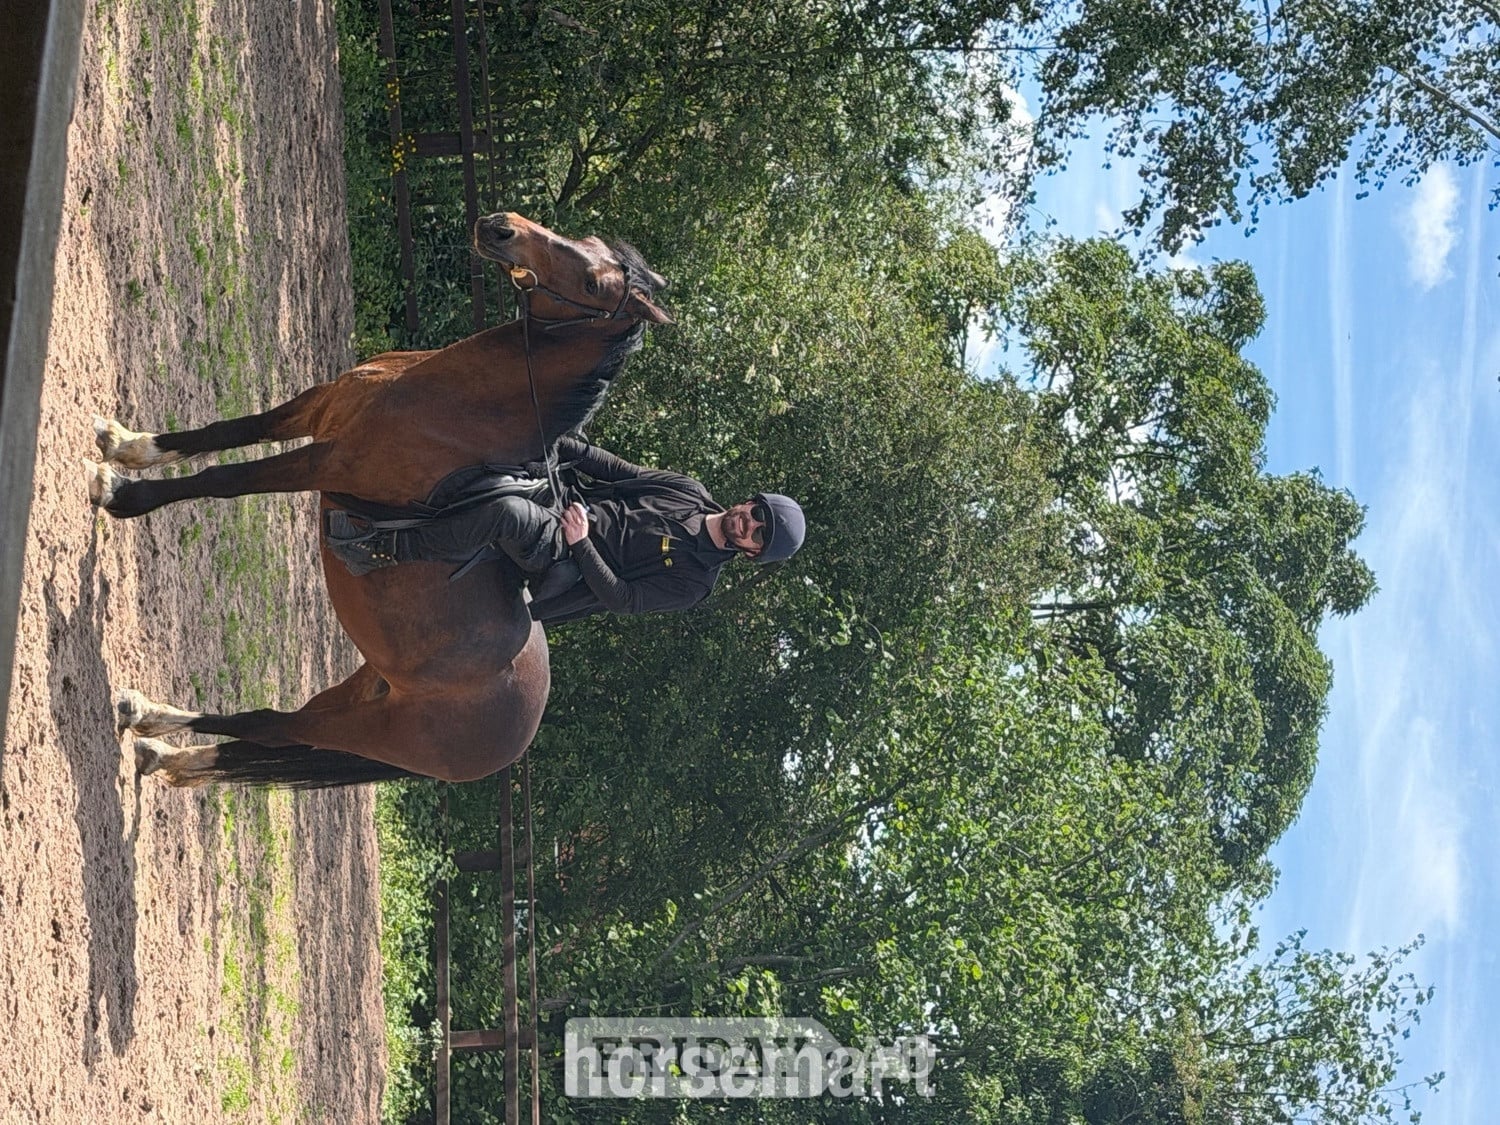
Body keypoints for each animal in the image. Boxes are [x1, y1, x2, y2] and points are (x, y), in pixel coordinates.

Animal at [85, 212, 671, 787]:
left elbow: (224, 478)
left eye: (593, 284)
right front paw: (129, 445)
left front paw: (121, 492)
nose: (503, 228)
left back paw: (152, 728)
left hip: (368, 729)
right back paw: (157, 739)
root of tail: (517, 739)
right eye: (587, 238)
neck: (455, 404)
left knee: (273, 728)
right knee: (273, 734)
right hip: (363, 691)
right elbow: (224, 431)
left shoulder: (324, 463)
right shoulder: (317, 408)